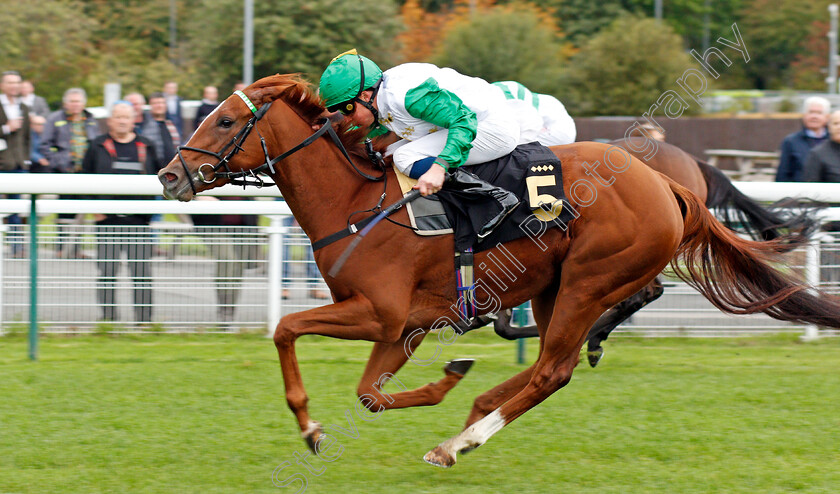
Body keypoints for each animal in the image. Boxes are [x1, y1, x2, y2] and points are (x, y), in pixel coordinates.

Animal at [158, 75, 840, 468]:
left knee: (555, 369)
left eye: (224, 120)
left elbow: (287, 329)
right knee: (549, 365)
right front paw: (444, 381)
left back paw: (459, 441)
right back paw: (477, 410)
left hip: (589, 279)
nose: (169, 175)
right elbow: (370, 393)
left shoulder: (378, 312)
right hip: (555, 288)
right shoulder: (402, 326)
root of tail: (667, 182)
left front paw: (313, 428)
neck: (356, 206)